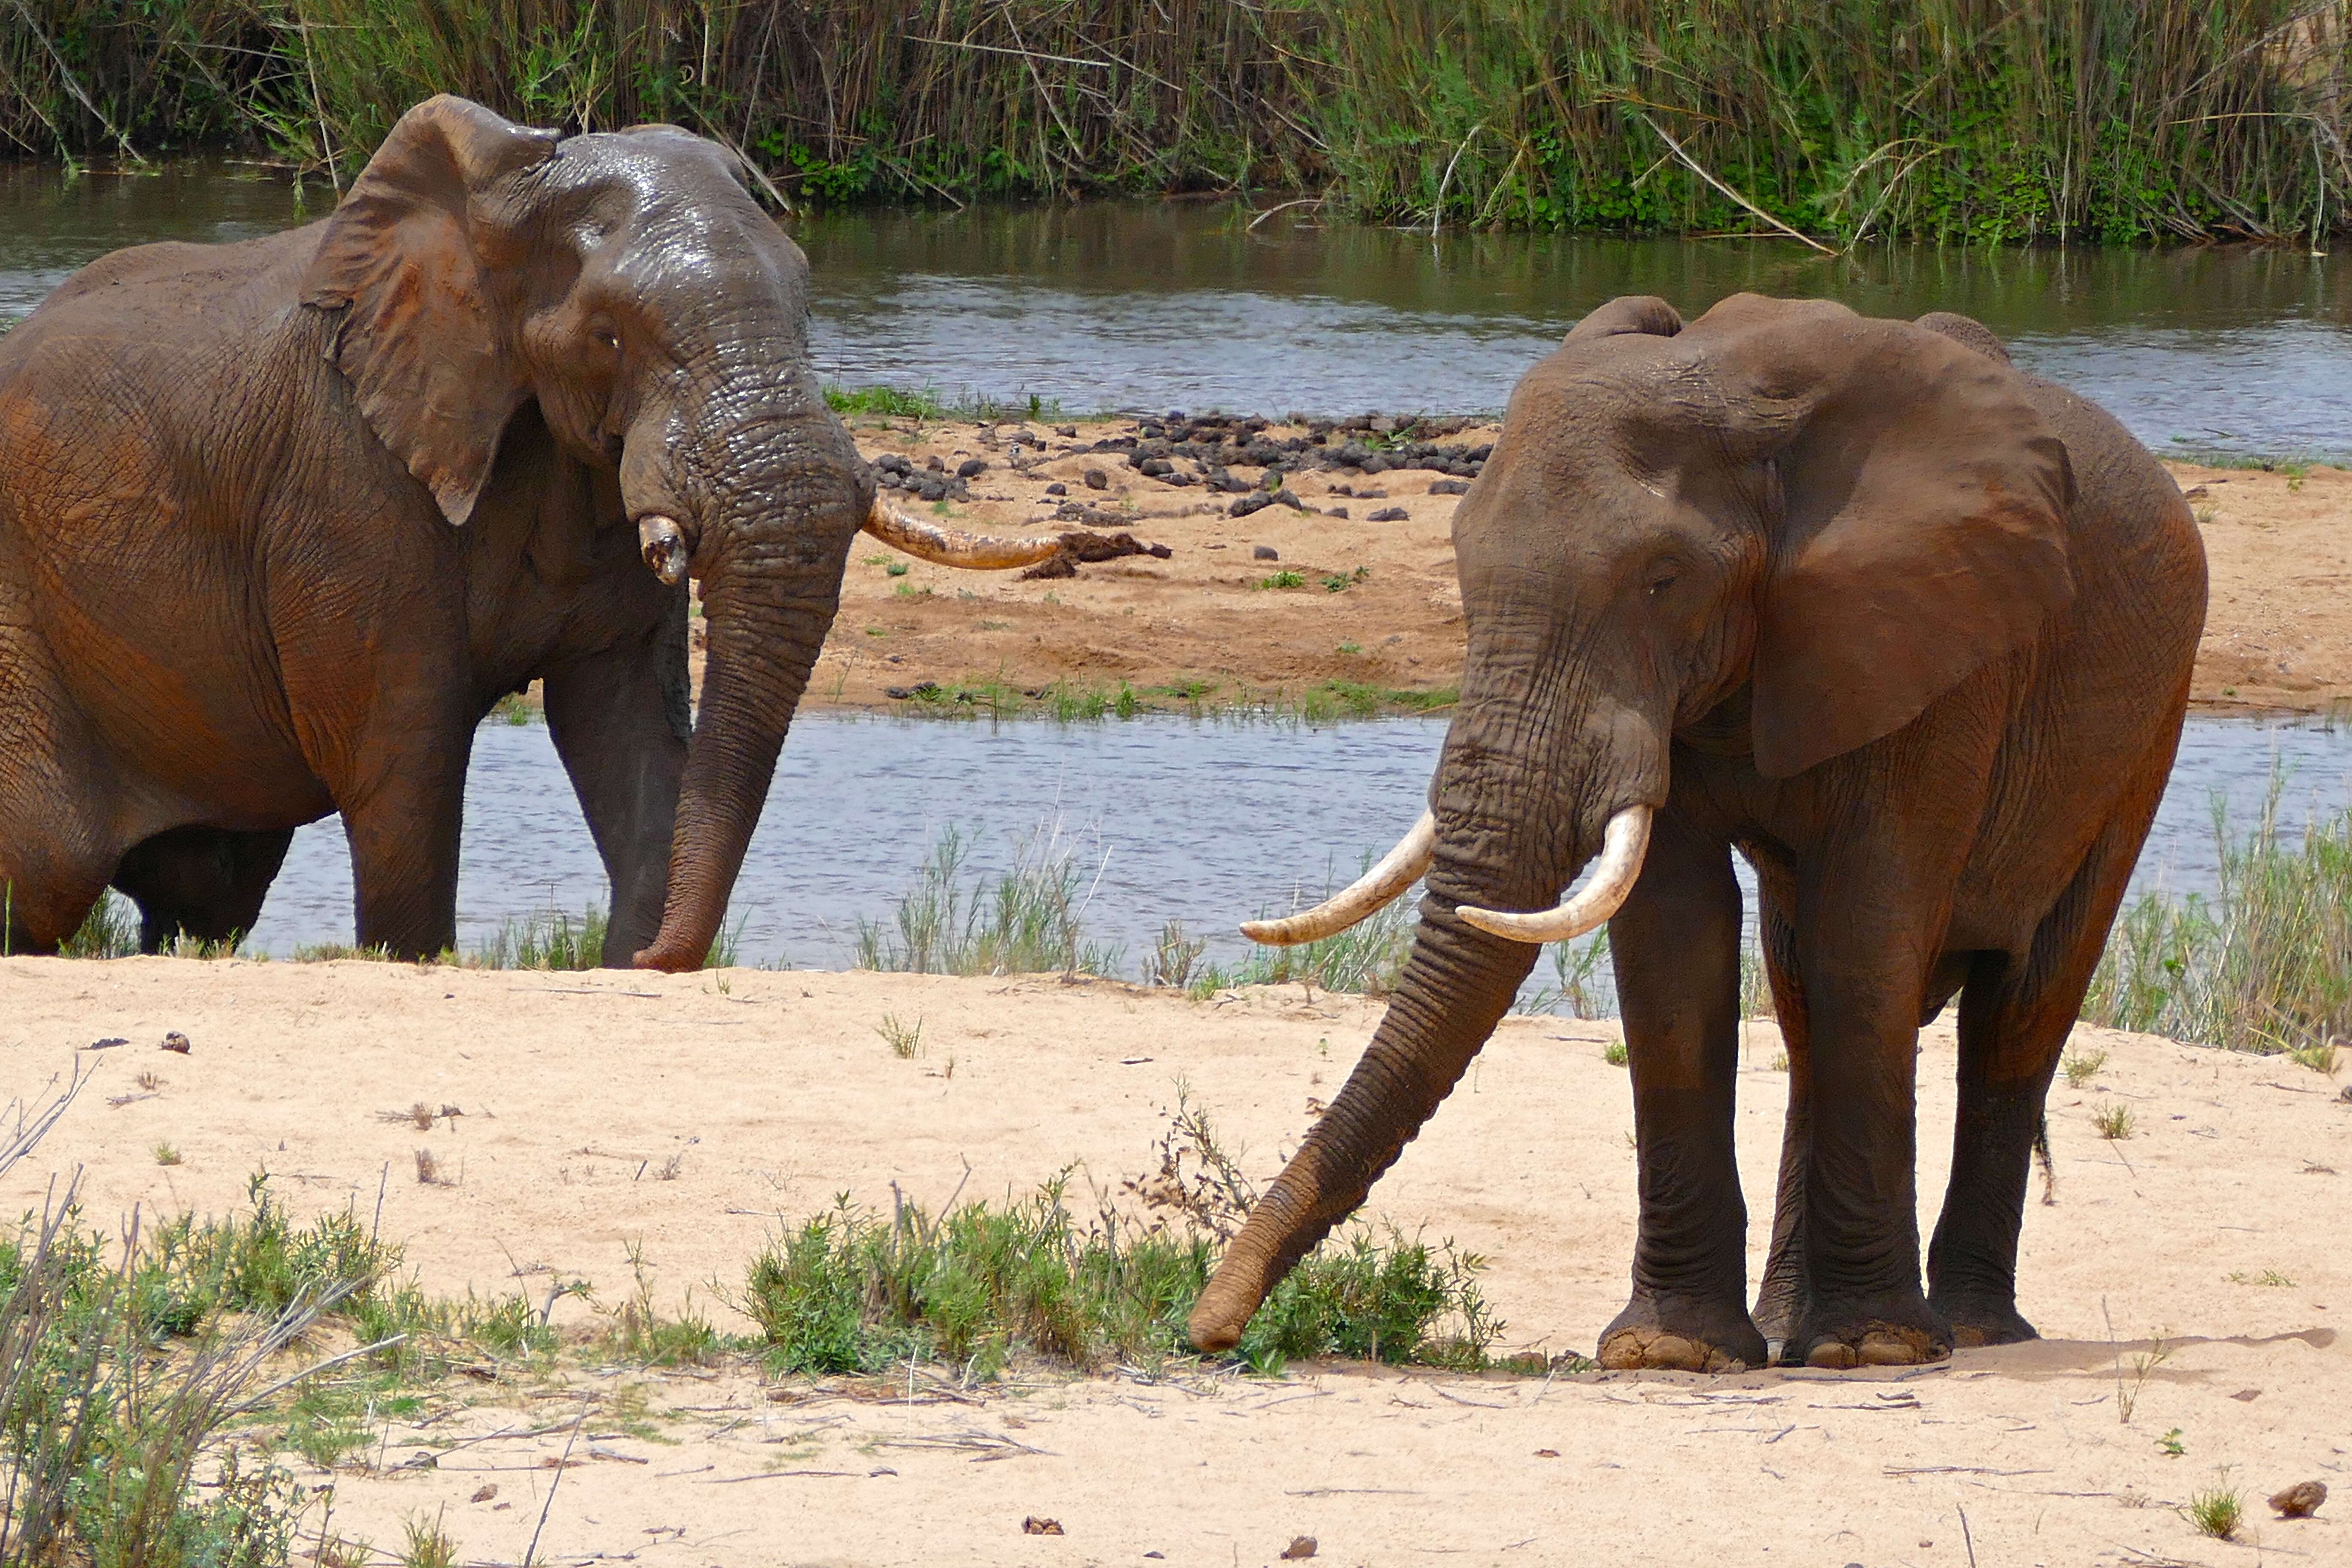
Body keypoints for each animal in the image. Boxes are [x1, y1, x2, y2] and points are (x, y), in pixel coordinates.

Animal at [0, 95, 1100, 968]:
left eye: (804, 307)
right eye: (609, 336)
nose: (651, 962)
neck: (500, 204)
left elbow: (629, 733)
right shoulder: (346, 481)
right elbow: (400, 762)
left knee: (206, 893)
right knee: (47, 871)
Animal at [1194, 294, 2201, 1373]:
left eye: (1661, 579)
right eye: (1463, 560)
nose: (1212, 1330)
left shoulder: (1939, 644)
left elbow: (1869, 934)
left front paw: (1874, 1351)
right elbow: (1675, 943)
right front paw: (1672, 1353)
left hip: (2147, 723)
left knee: (2018, 1008)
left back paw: (1962, 1332)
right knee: (1802, 997)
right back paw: (1797, 1329)